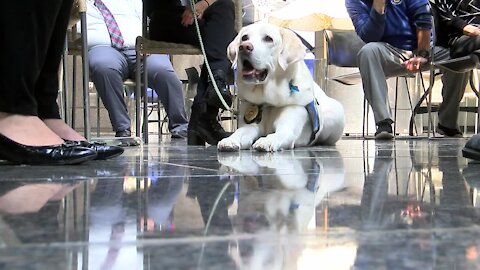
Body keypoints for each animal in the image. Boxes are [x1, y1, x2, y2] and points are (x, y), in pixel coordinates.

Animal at [218, 23, 344, 152]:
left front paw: (267, 141)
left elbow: (278, 134)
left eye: (268, 38)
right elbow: (239, 132)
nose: (243, 47)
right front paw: (230, 140)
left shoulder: (287, 127)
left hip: (336, 113)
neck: (268, 102)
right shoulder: (250, 125)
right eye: (244, 38)